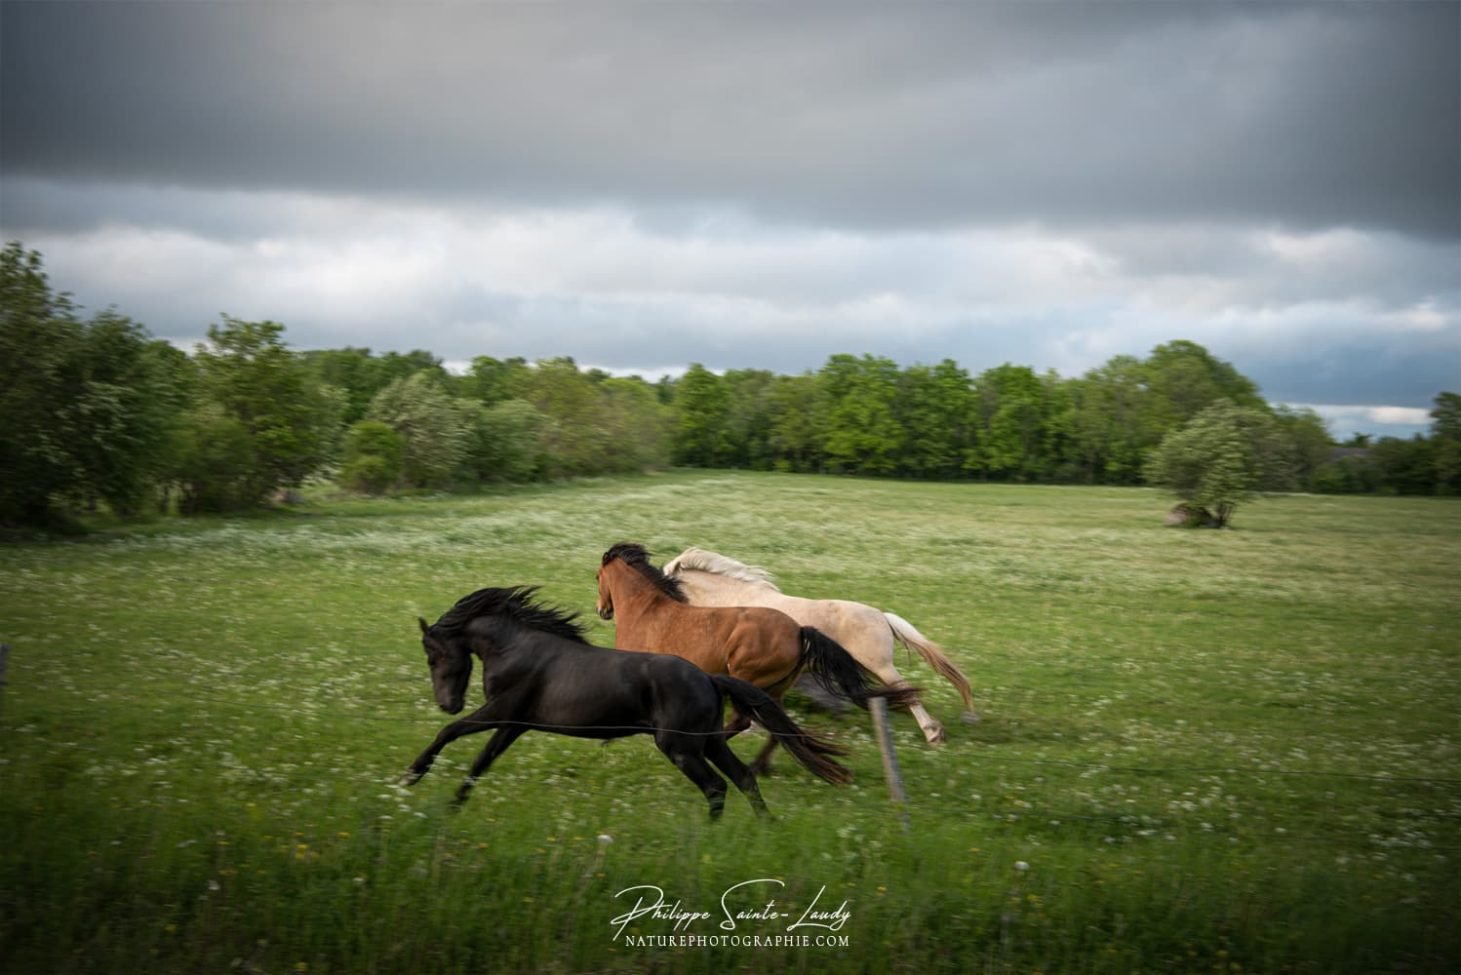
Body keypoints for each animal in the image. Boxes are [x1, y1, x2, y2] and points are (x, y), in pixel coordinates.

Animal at [404, 585, 851, 819]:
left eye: (432, 656)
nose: (447, 702)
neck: (517, 649)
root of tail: (709, 677)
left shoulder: (501, 711)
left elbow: (451, 733)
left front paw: (413, 774)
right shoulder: (513, 725)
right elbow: (481, 762)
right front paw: (452, 806)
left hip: (680, 747)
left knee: (717, 786)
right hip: (708, 742)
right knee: (742, 779)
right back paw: (765, 826)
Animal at [595, 542, 918, 771]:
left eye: (597, 576)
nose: (602, 610)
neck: (647, 610)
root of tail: (799, 631)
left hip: (751, 679)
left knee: (746, 721)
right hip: (775, 688)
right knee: (779, 729)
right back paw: (758, 766)